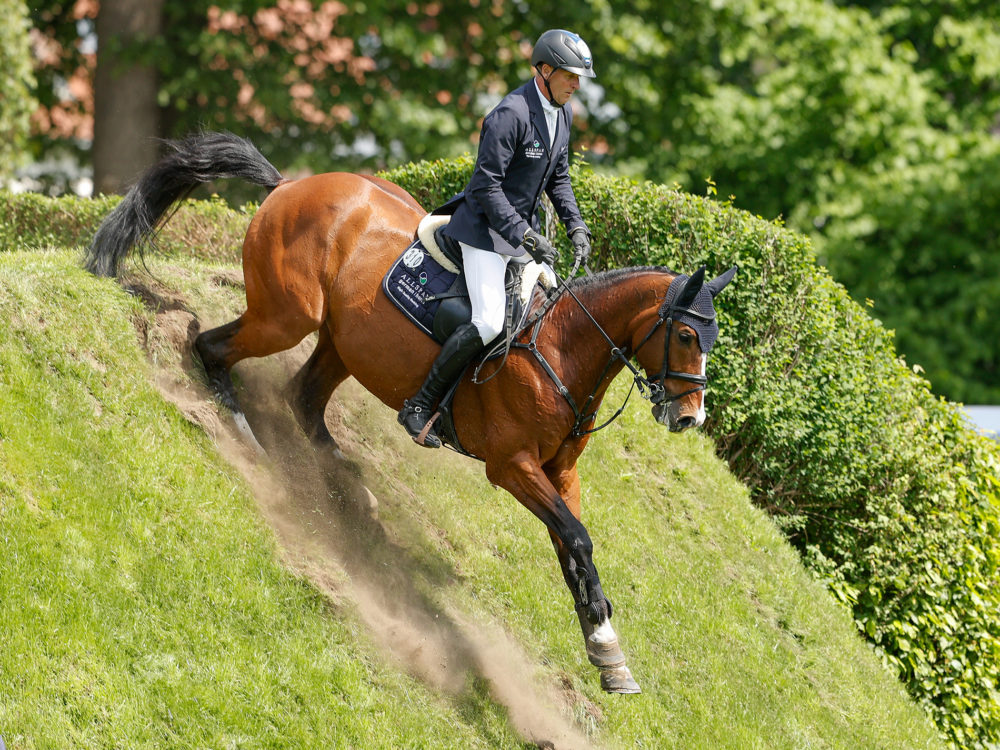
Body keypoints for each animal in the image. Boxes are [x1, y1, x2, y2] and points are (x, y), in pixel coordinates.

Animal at [86, 132, 736, 696]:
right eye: (685, 335)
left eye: (713, 337)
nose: (690, 418)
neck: (560, 345)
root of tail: (289, 185)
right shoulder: (512, 466)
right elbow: (575, 536)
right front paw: (604, 643)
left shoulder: (559, 472)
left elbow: (574, 546)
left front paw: (605, 646)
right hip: (286, 317)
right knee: (212, 349)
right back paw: (246, 437)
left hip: (341, 342)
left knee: (304, 399)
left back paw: (349, 488)